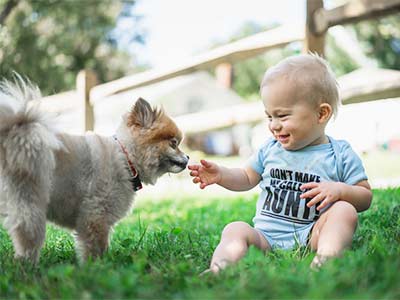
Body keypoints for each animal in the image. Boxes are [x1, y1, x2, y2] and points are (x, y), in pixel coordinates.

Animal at [0, 75, 190, 262]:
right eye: (174, 143)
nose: (188, 157)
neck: (126, 158)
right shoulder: (96, 215)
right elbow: (96, 246)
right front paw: (98, 266)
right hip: (31, 201)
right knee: (28, 236)